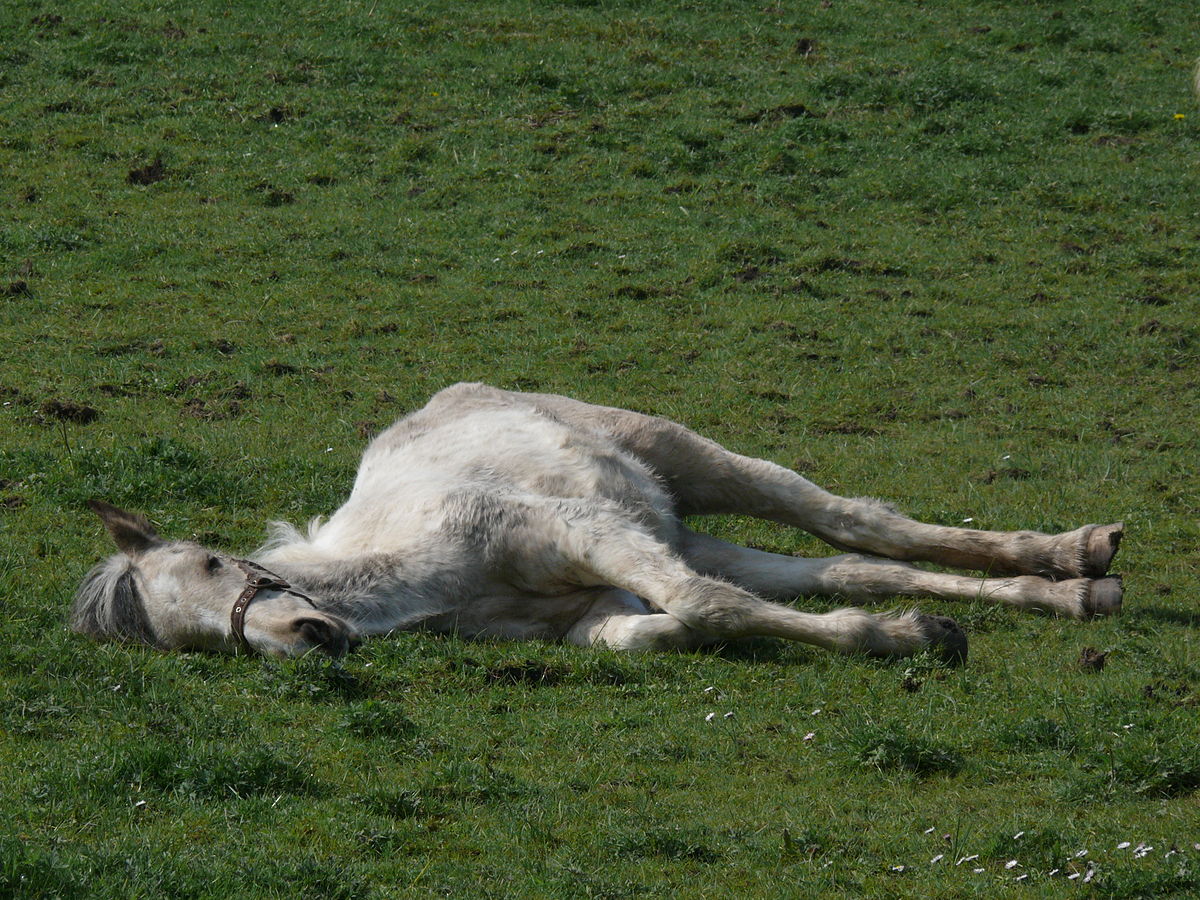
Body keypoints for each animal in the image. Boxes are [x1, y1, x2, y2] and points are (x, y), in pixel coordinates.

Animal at [74, 383, 1125, 664]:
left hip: (694, 464)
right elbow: (661, 628)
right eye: (192, 642)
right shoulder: (600, 601)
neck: (426, 572)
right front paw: (915, 635)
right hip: (683, 527)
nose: (307, 636)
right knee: (859, 569)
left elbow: (710, 609)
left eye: (215, 563)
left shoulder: (586, 534)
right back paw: (1072, 590)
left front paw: (911, 643)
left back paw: (1074, 551)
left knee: (859, 523)